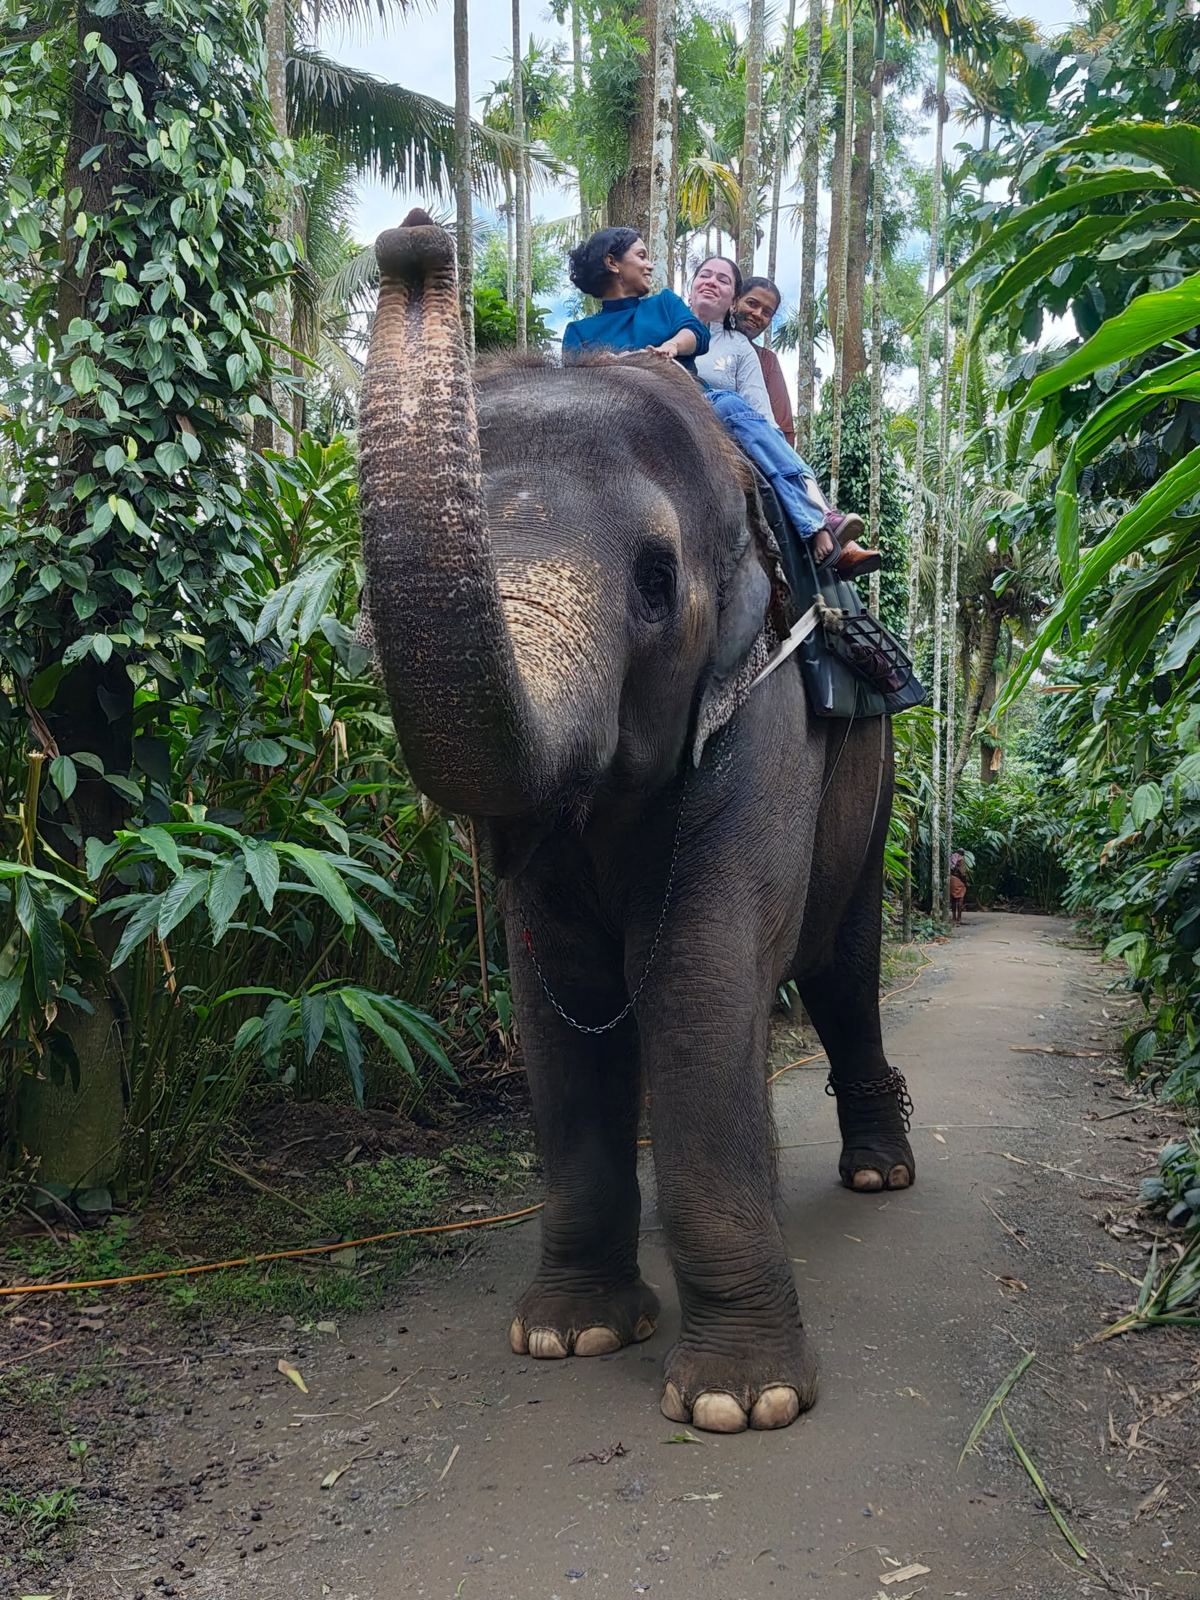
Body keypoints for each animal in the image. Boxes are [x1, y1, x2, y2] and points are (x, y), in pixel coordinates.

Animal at [358, 209, 915, 1435]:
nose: (414, 237)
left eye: (658, 583)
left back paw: (881, 1175)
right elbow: (554, 990)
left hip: (874, 775)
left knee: (844, 965)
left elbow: (701, 967)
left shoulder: (761, 703)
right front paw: (569, 1333)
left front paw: (741, 1403)